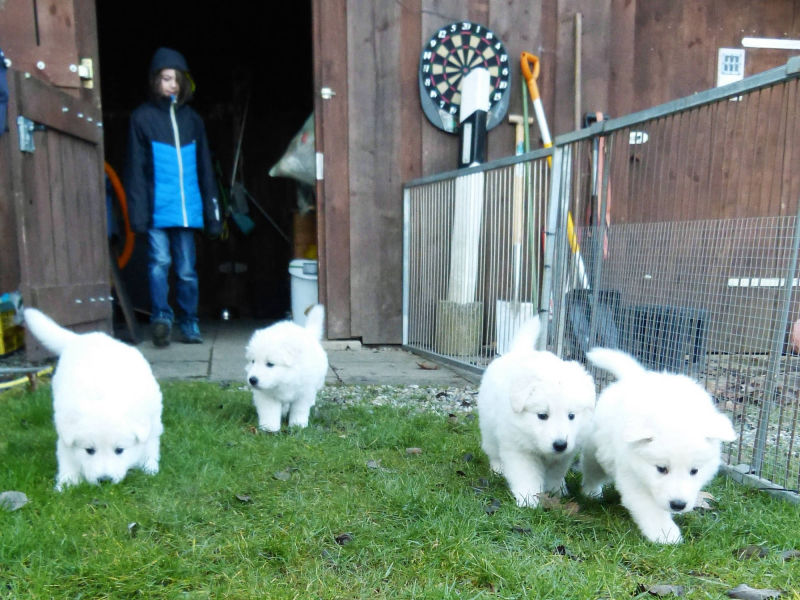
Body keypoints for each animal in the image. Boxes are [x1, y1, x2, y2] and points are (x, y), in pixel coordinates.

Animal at [24, 308, 164, 490]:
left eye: (119, 450)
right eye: (89, 450)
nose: (105, 480)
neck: (103, 398)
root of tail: (84, 337)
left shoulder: (149, 424)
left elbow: (150, 445)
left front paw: (149, 467)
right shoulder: (64, 432)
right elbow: (67, 457)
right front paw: (66, 483)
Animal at [247, 304, 328, 432]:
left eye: (270, 364)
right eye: (253, 361)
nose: (252, 380)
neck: (286, 377)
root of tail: (308, 333)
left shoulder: (304, 392)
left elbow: (299, 409)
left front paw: (298, 424)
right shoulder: (267, 395)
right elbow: (269, 411)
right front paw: (269, 428)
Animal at [478, 316, 596, 508]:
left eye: (571, 416)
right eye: (542, 415)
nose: (560, 444)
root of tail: (517, 351)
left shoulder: (565, 454)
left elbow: (556, 472)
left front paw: (556, 490)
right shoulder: (518, 448)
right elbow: (526, 474)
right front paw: (528, 499)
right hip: (488, 426)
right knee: (493, 450)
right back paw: (498, 469)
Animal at [580, 346, 736, 544]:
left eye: (694, 471)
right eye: (661, 469)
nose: (678, 505)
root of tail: (635, 376)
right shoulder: (631, 472)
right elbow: (650, 507)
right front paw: (665, 534)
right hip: (596, 449)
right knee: (592, 470)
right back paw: (591, 492)